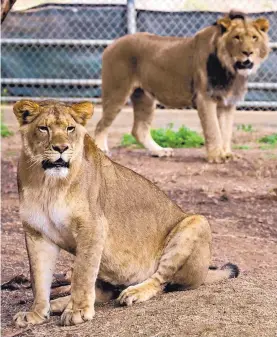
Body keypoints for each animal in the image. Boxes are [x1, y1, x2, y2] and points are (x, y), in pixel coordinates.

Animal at [12, 100, 237, 326]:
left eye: (70, 128)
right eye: (43, 128)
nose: (61, 148)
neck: (48, 184)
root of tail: (205, 272)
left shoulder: (92, 226)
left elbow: (83, 273)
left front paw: (77, 311)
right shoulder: (37, 233)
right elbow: (39, 278)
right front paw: (36, 313)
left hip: (197, 222)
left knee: (160, 281)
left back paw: (133, 293)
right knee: (103, 291)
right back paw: (59, 303)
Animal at [95, 11, 270, 162]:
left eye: (254, 37)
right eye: (236, 37)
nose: (248, 53)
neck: (231, 70)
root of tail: (111, 45)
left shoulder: (228, 103)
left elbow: (226, 131)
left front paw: (227, 154)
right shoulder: (205, 98)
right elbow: (213, 129)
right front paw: (216, 156)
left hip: (144, 97)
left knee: (139, 129)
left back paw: (160, 151)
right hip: (117, 91)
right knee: (101, 125)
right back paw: (101, 150)